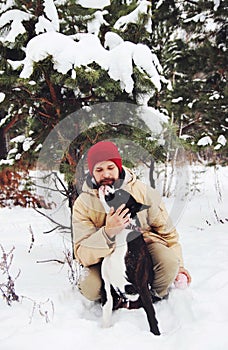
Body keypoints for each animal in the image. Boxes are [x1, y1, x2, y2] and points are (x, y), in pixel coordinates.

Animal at [98, 186, 160, 336]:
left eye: (120, 193)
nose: (106, 186)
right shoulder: (107, 287)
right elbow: (106, 313)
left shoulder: (142, 286)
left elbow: (151, 314)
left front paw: (157, 335)